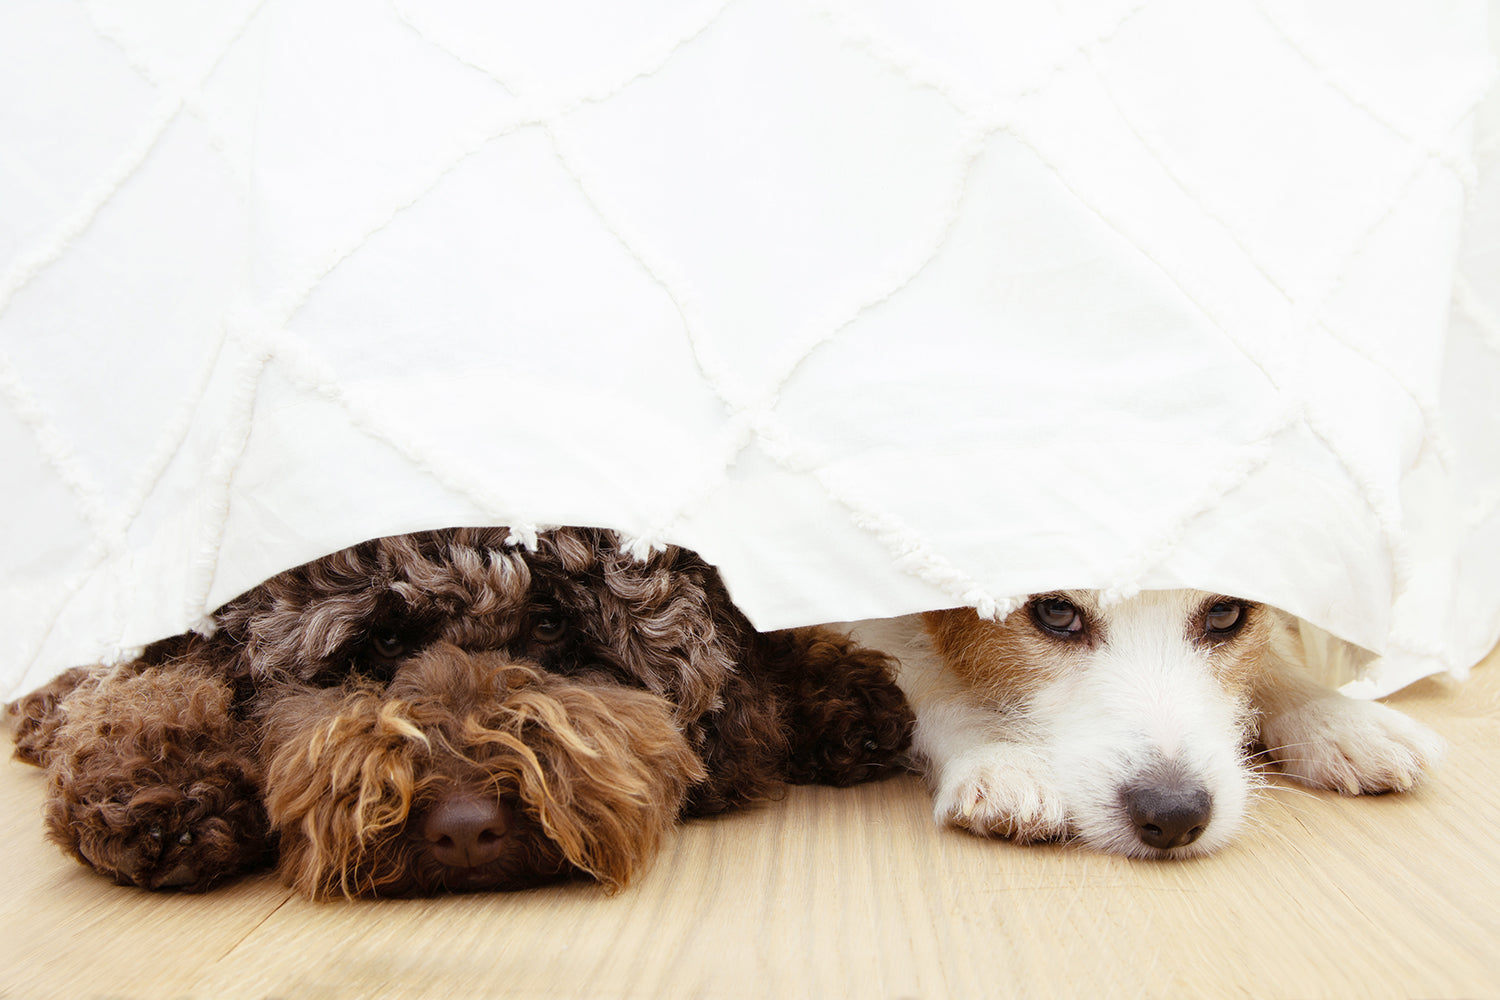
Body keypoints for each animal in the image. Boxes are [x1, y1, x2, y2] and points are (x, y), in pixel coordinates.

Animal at [8, 530, 912, 899]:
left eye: (549, 625)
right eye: (379, 644)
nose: (467, 829)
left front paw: (838, 694)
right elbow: (160, 686)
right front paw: (159, 780)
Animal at [858, 593, 1440, 863]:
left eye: (1226, 614)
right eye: (1055, 611)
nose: (1175, 814)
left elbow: (1275, 651)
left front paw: (1336, 715)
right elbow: (932, 682)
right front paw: (1002, 757)